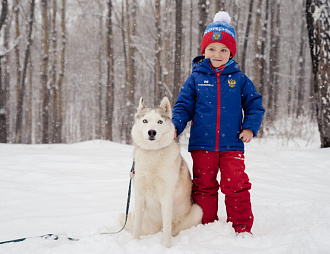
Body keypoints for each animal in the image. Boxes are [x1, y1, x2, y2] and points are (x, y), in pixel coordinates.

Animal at [122, 96, 202, 246]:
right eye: (145, 121)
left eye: (160, 121)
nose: (152, 132)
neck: (153, 154)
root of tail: (156, 229)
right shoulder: (140, 196)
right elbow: (136, 227)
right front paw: (135, 242)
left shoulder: (166, 197)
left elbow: (166, 230)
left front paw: (166, 247)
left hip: (197, 211)